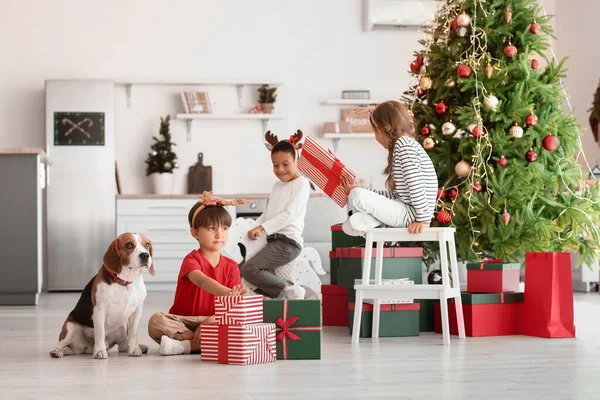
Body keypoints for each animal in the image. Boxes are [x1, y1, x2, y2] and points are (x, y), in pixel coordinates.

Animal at [50, 231, 155, 360]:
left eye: (147, 245)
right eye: (129, 245)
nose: (145, 255)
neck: (125, 281)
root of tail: (86, 348)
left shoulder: (137, 311)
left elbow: (133, 333)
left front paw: (135, 348)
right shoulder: (100, 310)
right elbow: (100, 332)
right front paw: (100, 351)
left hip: (123, 325)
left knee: (122, 346)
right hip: (70, 328)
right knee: (60, 344)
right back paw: (57, 352)